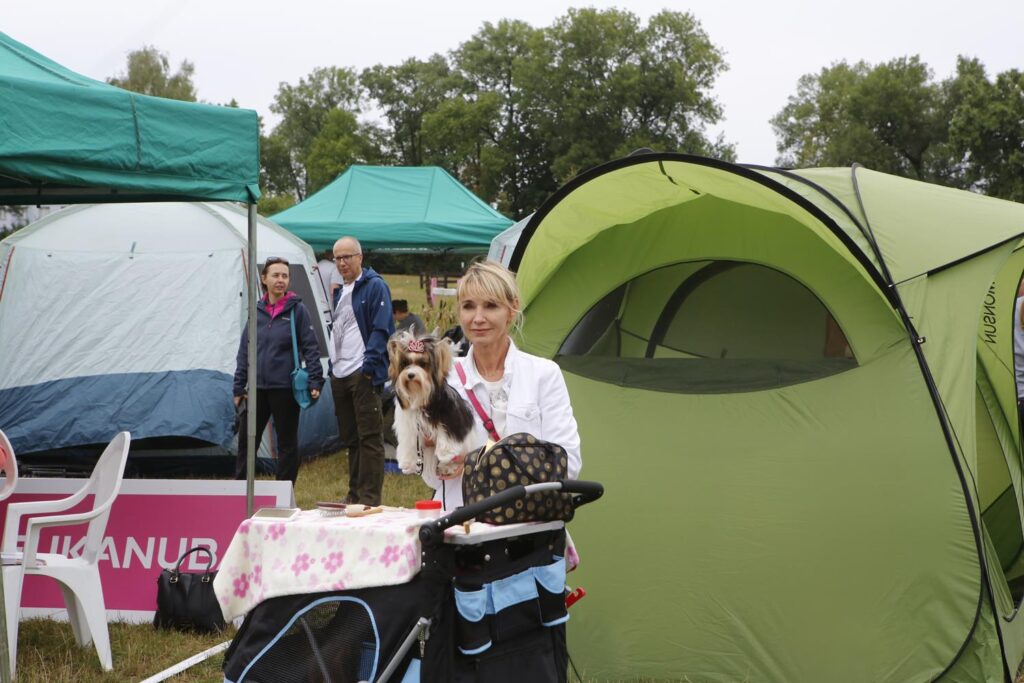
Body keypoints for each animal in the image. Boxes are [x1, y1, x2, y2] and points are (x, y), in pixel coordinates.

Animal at [387, 326, 475, 477]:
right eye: (405, 364)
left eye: (423, 364)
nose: (410, 375)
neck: (419, 394)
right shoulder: (409, 424)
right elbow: (408, 441)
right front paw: (407, 461)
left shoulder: (450, 416)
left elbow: (446, 434)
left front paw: (445, 453)